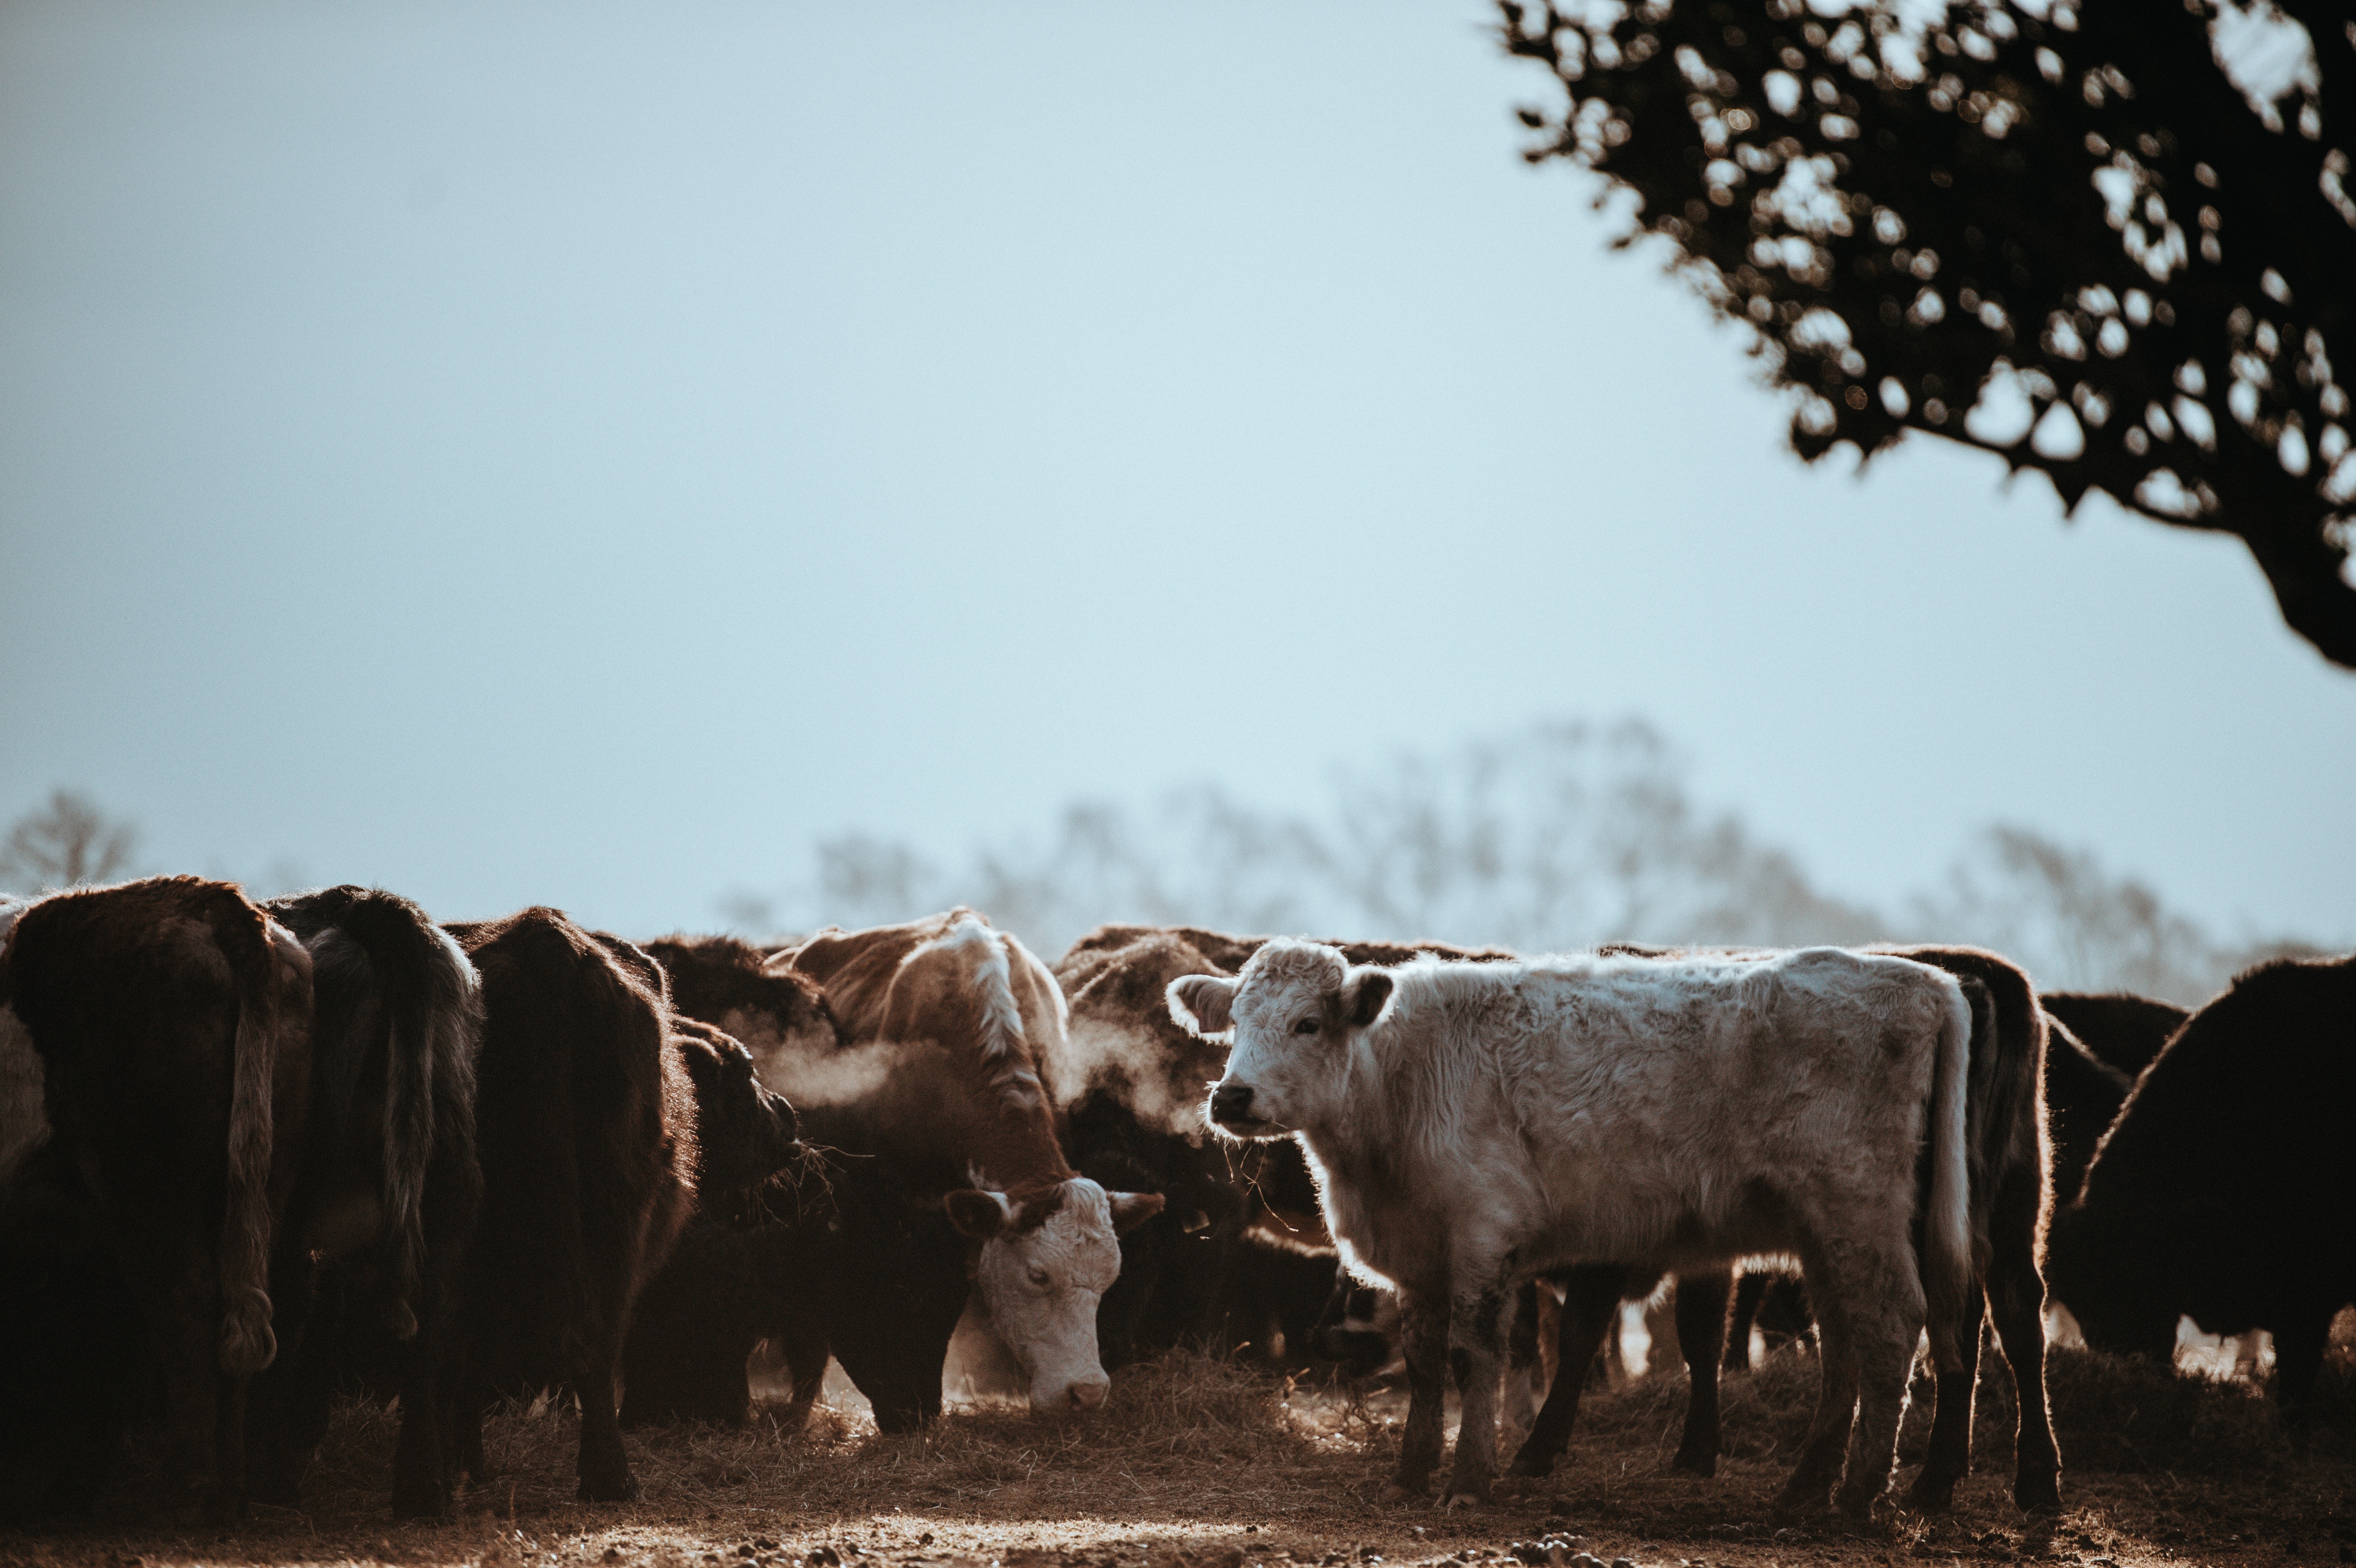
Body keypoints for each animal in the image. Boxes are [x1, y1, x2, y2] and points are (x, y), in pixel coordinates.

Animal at [0, 877, 313, 1516]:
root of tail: (208, 900)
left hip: (143, 1182)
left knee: (184, 1301)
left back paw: (187, 1489)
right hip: (261, 1175)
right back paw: (228, 1486)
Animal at [246, 885, 483, 1519]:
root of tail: (363, 903)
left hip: (293, 1178)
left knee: (286, 1299)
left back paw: (267, 1478)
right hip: (449, 1173)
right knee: (436, 1310)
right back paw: (421, 1490)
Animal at [1175, 940, 1974, 1515]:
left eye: (1307, 1023)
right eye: (1235, 1024)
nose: (1232, 1097)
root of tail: (1923, 981)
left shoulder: (1484, 1236)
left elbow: (1476, 1358)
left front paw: (1468, 1481)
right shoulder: (1421, 1255)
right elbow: (1426, 1364)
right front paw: (1411, 1472)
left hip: (1859, 1206)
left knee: (1892, 1326)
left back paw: (1860, 1496)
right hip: (1823, 1231)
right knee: (1844, 1341)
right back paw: (1806, 1487)